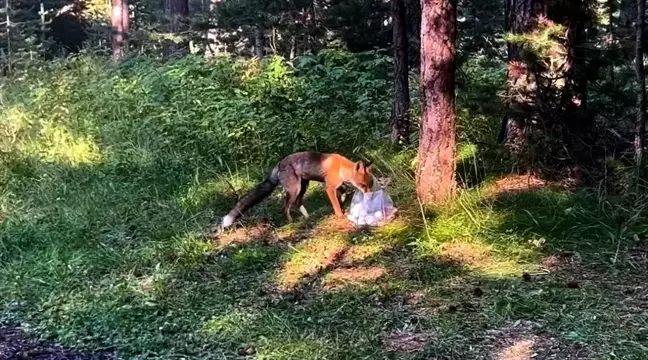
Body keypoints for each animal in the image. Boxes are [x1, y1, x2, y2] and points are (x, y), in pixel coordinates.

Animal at [223, 151, 374, 228]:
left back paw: (307, 218)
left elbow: (343, 192)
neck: (341, 168)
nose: (369, 196)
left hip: (303, 186)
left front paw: (342, 200)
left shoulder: (333, 185)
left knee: (297, 203)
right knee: (285, 208)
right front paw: (340, 215)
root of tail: (279, 163)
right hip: (294, 189)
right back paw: (292, 222)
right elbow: (336, 203)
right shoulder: (329, 187)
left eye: (370, 184)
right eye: (362, 185)